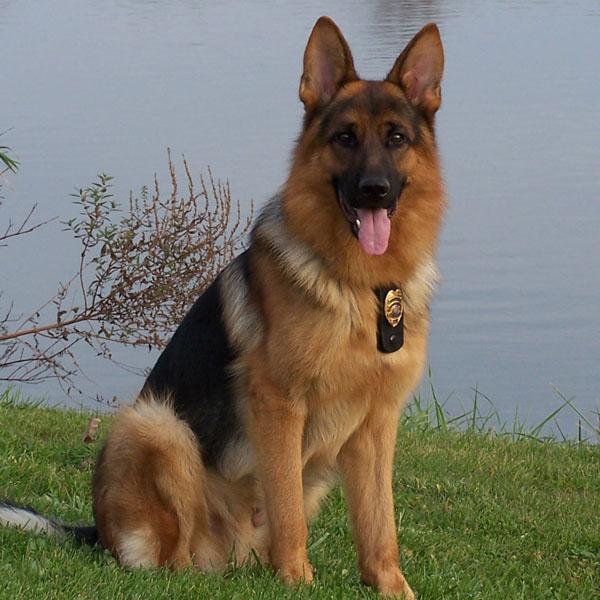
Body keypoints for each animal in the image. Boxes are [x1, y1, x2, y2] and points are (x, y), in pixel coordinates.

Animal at [1, 16, 446, 596]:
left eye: (396, 139)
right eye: (345, 138)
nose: (375, 190)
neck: (360, 287)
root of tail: (97, 530)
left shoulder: (377, 423)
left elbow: (379, 522)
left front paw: (391, 586)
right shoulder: (280, 405)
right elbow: (288, 510)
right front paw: (297, 580)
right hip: (156, 424)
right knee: (167, 561)